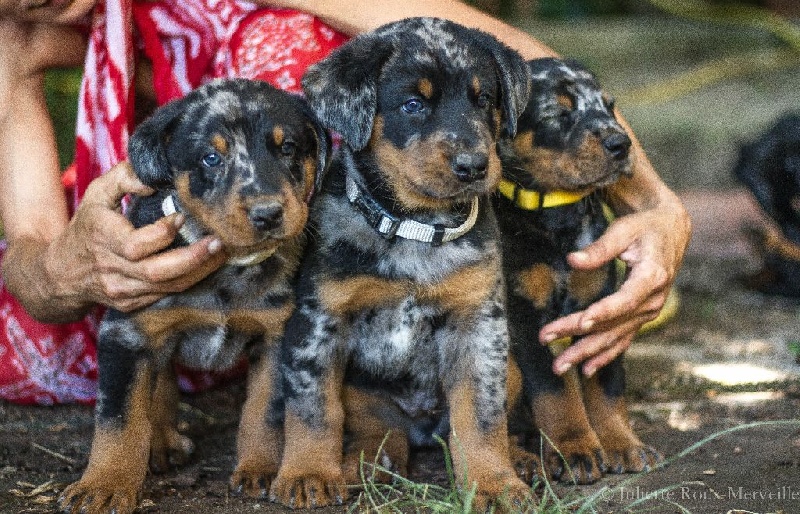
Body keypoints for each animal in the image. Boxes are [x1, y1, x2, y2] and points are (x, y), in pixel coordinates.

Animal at [57, 77, 328, 512]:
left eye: (287, 148)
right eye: (210, 159)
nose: (268, 214)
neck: (228, 267)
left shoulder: (275, 334)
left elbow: (264, 410)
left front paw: (259, 468)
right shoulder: (127, 332)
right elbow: (120, 417)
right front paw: (104, 484)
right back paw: (161, 443)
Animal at [270, 17, 536, 508]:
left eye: (483, 100)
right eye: (413, 104)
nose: (474, 165)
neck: (417, 229)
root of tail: (422, 428)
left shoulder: (477, 322)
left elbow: (481, 416)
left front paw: (494, 482)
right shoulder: (319, 320)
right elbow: (314, 409)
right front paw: (307, 474)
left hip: (509, 368)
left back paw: (521, 459)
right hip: (363, 394)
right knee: (376, 429)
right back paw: (364, 464)